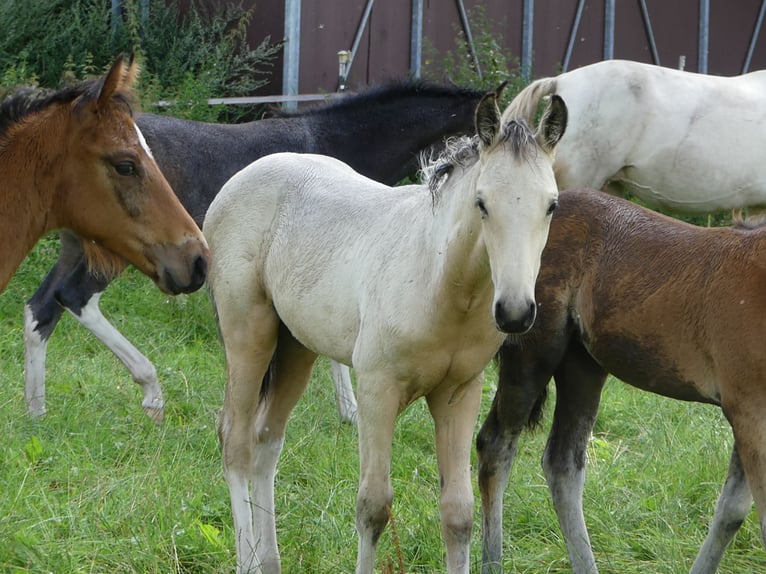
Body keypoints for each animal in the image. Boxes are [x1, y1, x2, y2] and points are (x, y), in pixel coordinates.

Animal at [24, 80, 486, 424]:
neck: (335, 144)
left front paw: (347, 410)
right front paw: (351, 410)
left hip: (79, 249)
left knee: (42, 306)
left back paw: (36, 410)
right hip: (121, 250)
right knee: (74, 298)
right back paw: (151, 390)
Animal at [204, 91, 568, 574]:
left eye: (551, 205)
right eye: (482, 203)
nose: (514, 312)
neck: (439, 279)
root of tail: (241, 179)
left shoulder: (459, 393)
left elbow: (458, 513)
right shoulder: (377, 389)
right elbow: (373, 507)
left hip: (296, 345)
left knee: (267, 440)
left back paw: (270, 559)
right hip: (249, 333)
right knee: (237, 442)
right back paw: (248, 559)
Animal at [480, 189, 766, 574]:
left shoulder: (746, 415)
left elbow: (731, 511)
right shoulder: (748, 409)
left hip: (582, 366)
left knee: (562, 464)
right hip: (532, 354)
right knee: (496, 446)